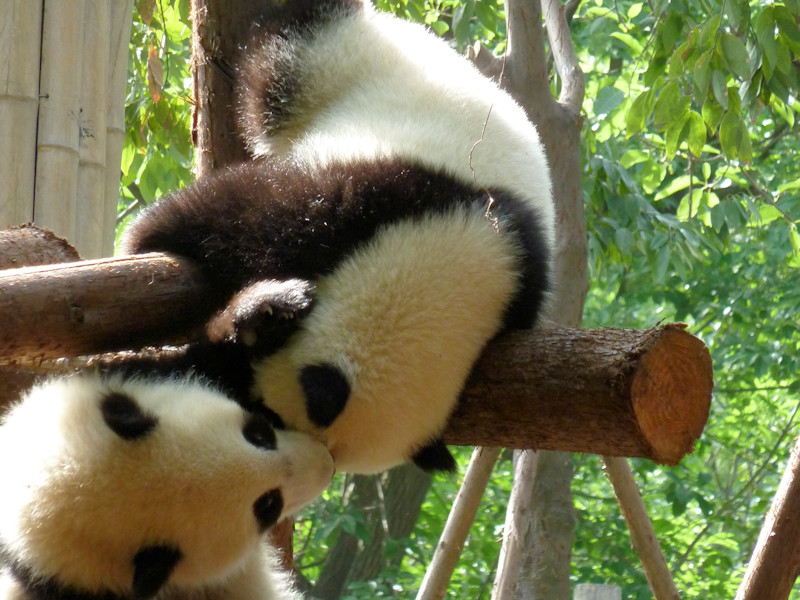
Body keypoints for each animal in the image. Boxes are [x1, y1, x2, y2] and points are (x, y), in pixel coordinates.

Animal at [122, 0, 554, 475]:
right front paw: (147, 239)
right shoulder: (393, 192)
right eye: (267, 417)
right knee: (273, 64)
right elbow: (254, 215)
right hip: (325, 63)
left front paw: (251, 320)